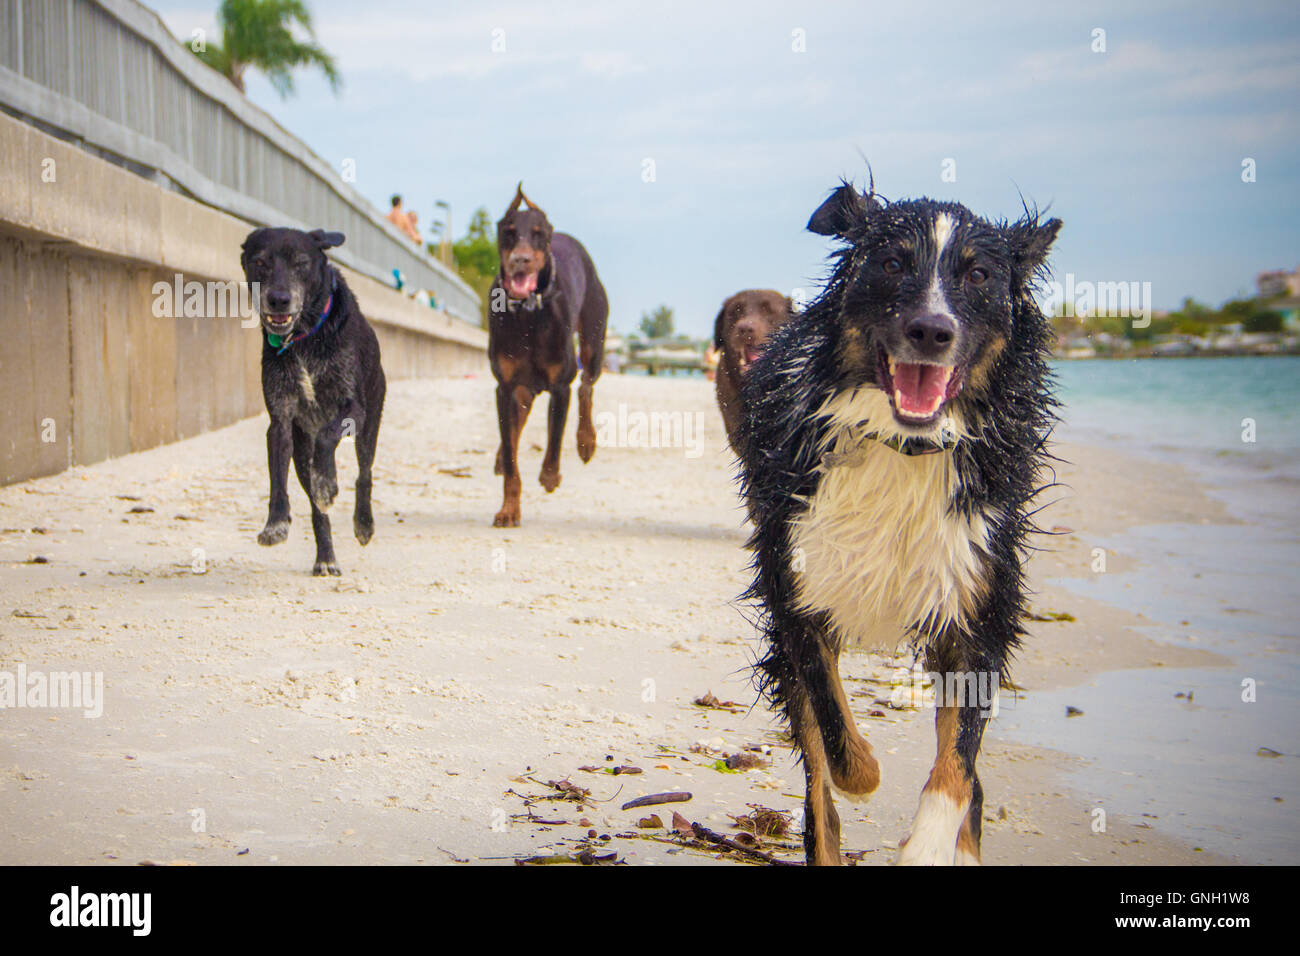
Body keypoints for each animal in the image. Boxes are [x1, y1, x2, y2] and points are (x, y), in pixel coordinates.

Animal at [240, 227, 384, 574]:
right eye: (260, 262)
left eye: (301, 263)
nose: (279, 299)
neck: (305, 336)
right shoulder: (280, 422)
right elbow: (277, 478)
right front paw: (275, 523)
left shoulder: (352, 408)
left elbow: (327, 437)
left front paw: (327, 483)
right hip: (300, 449)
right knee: (318, 509)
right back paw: (326, 557)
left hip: (370, 424)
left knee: (364, 473)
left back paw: (363, 523)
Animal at [488, 184, 608, 530]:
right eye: (508, 232)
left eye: (538, 235)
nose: (521, 260)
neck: (529, 312)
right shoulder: (504, 387)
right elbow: (512, 460)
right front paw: (508, 510)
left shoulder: (559, 386)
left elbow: (555, 438)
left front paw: (550, 475)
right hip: (523, 387)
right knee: (518, 420)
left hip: (593, 343)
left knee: (586, 386)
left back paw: (586, 441)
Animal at [738, 180, 1060, 868]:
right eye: (890, 263)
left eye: (979, 275)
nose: (931, 330)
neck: (903, 445)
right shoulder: (797, 588)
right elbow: (835, 735)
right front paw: (865, 772)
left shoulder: (975, 599)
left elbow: (957, 764)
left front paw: (930, 845)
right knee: (819, 793)